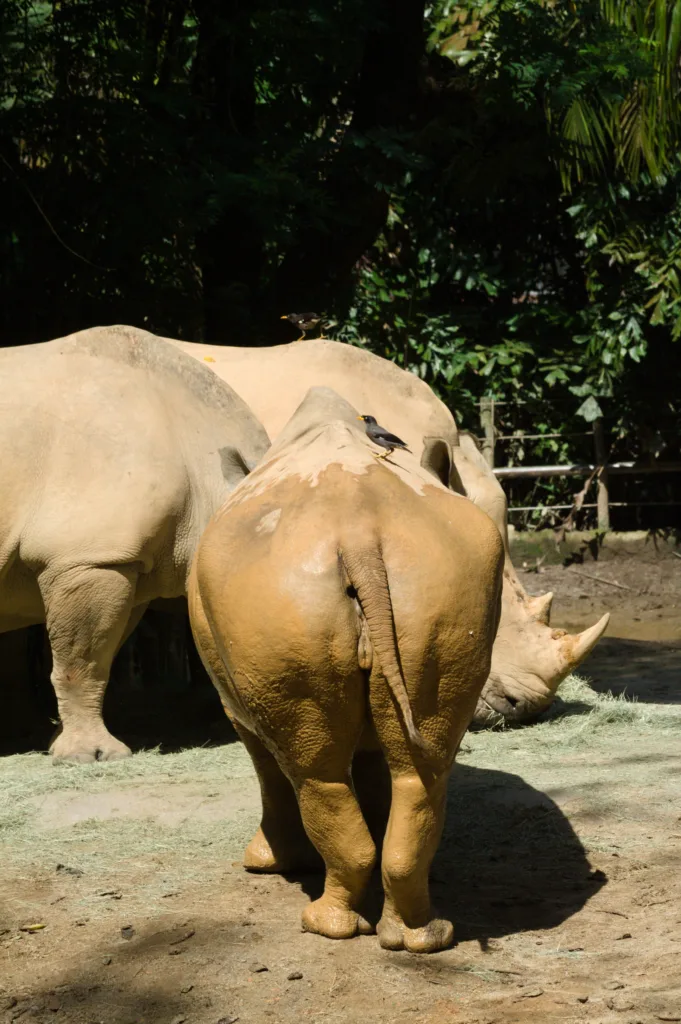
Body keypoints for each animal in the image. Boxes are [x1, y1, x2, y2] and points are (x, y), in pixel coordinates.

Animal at [0, 325, 270, 762]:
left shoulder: (124, 562)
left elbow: (100, 657)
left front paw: (61, 746)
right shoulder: (89, 557)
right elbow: (83, 660)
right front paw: (91, 756)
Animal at [189, 387, 504, 952]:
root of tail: (359, 533)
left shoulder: (234, 702)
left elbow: (267, 768)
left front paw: (268, 863)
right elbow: (378, 763)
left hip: (281, 591)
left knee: (316, 776)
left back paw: (322, 924)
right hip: (439, 575)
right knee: (420, 769)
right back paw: (424, 936)